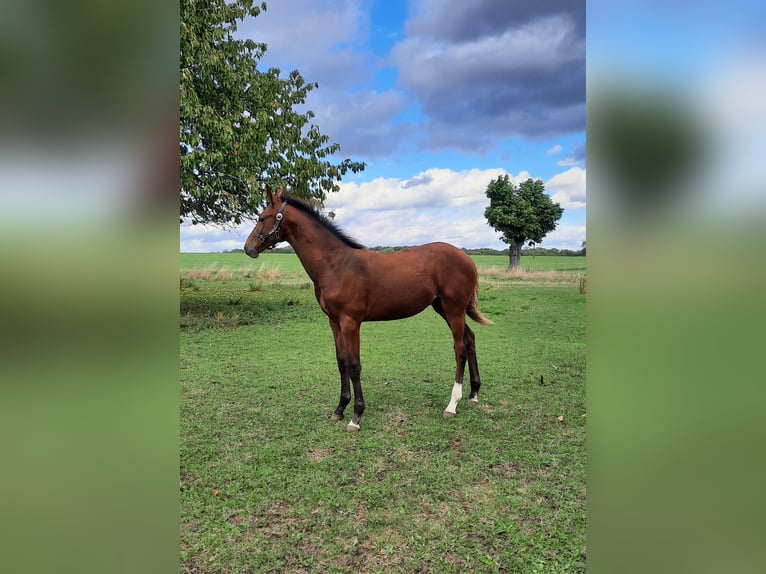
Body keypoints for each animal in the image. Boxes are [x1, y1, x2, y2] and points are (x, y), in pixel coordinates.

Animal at [246, 187, 492, 430]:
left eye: (262, 218)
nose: (248, 248)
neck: (336, 265)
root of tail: (468, 260)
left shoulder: (351, 323)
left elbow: (354, 365)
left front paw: (356, 416)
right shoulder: (334, 322)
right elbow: (341, 362)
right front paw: (339, 409)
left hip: (453, 308)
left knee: (459, 348)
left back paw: (452, 405)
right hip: (443, 308)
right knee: (470, 339)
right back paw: (473, 394)